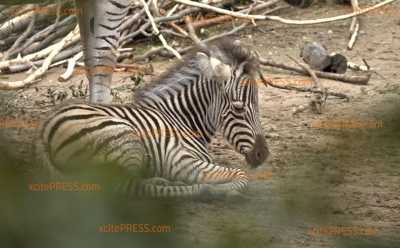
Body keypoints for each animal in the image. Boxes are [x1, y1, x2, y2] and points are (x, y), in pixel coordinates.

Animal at [36, 38, 270, 198]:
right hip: (126, 140)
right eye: (238, 108)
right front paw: (222, 189)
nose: (263, 155)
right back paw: (196, 189)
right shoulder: (180, 160)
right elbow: (241, 176)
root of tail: (45, 131)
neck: (183, 121)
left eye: (257, 105)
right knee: (127, 187)